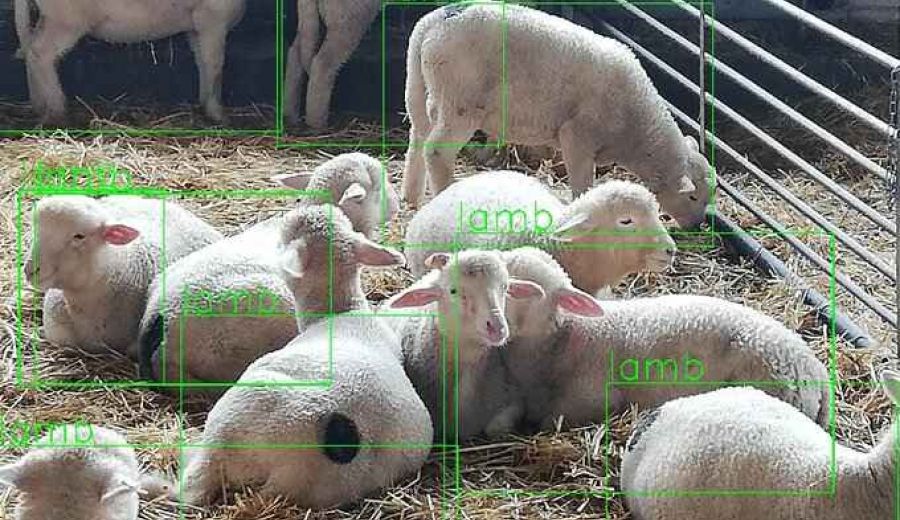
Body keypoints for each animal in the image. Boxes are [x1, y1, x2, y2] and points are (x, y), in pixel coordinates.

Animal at [14, 0, 246, 124]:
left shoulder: (196, 27)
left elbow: (203, 64)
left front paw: (206, 105)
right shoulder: (213, 18)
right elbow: (215, 64)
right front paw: (218, 114)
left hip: (52, 17)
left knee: (30, 48)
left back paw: (40, 106)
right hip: (66, 19)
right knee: (39, 52)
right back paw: (58, 111)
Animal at [401, 2, 711, 228]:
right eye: (693, 197)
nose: (697, 227)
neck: (636, 130)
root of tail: (436, 21)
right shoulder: (578, 135)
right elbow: (582, 184)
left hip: (419, 85)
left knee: (418, 136)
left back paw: (411, 196)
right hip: (460, 100)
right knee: (437, 151)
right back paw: (442, 195)